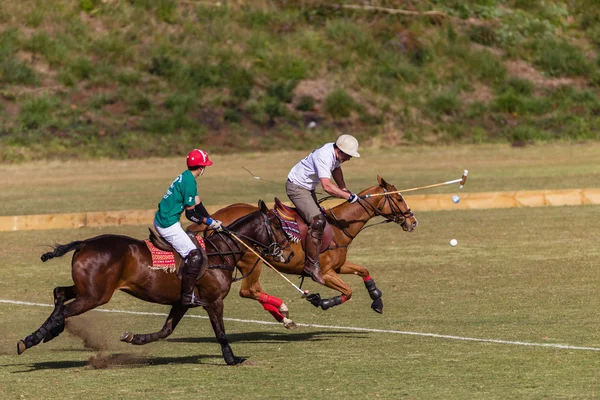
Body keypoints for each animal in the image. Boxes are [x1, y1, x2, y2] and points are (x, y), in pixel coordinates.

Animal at [16, 202, 292, 364]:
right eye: (278, 224)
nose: (288, 253)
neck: (220, 252)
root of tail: (85, 243)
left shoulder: (183, 302)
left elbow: (165, 330)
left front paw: (133, 338)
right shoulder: (213, 301)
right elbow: (221, 332)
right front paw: (232, 359)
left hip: (89, 290)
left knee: (59, 293)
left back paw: (48, 333)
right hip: (96, 296)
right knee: (63, 307)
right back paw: (30, 339)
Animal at [191, 175, 418, 328]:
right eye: (398, 199)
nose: (413, 222)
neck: (339, 226)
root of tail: (214, 218)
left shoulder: (338, 266)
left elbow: (363, 270)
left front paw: (376, 299)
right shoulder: (325, 272)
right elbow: (348, 291)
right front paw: (323, 302)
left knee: (251, 291)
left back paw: (284, 318)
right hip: (251, 261)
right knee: (249, 290)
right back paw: (284, 314)